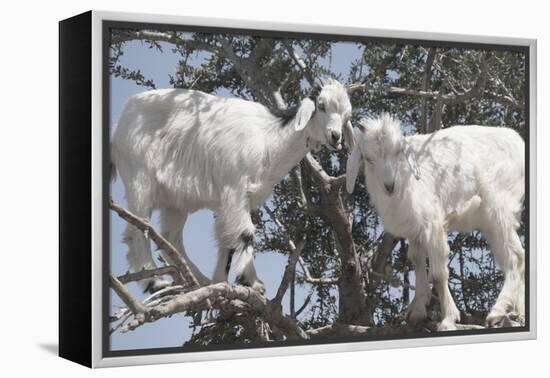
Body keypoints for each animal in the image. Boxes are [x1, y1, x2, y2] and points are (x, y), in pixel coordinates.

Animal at [112, 79, 356, 292]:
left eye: (347, 115)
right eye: (321, 106)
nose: (336, 137)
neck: (269, 141)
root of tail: (120, 122)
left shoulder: (235, 201)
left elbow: (227, 238)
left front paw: (221, 280)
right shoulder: (234, 189)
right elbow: (246, 234)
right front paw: (252, 282)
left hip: (176, 201)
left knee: (171, 238)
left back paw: (199, 280)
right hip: (139, 177)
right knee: (137, 229)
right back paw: (154, 282)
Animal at [350, 113, 528, 330]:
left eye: (398, 151)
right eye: (368, 158)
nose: (389, 186)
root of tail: (519, 144)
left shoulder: (433, 223)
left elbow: (438, 274)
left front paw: (448, 319)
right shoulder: (415, 229)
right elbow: (417, 260)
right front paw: (417, 311)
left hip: (499, 208)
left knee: (515, 258)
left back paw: (498, 311)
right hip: (492, 221)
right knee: (515, 256)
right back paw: (517, 313)